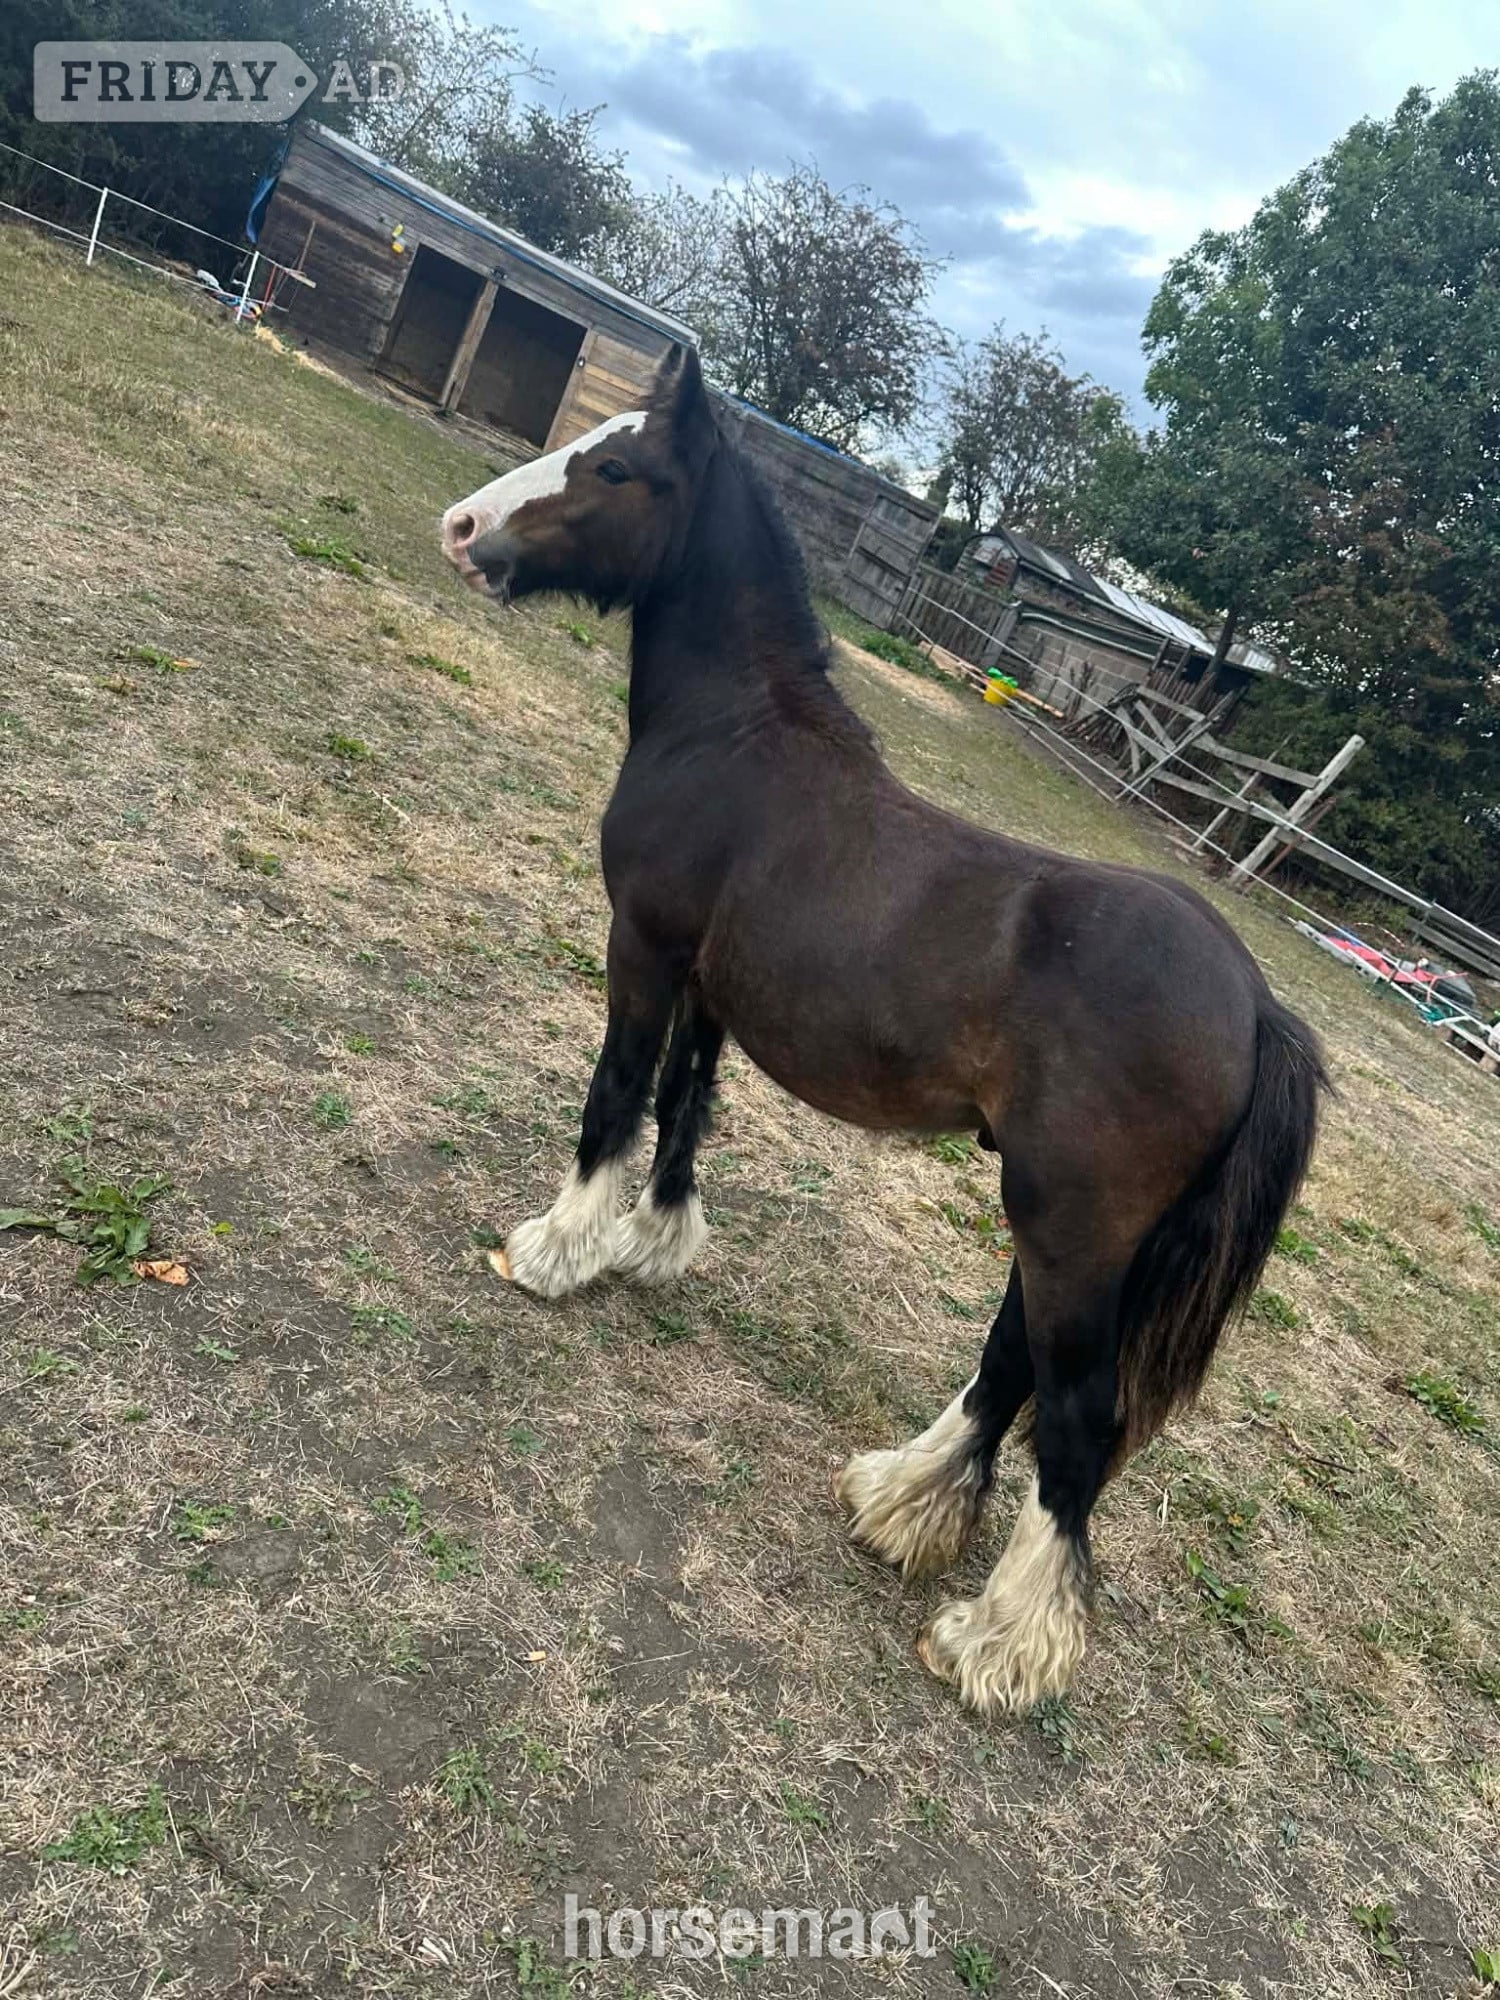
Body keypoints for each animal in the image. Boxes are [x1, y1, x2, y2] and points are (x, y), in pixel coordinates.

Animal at [438, 346, 1326, 1717]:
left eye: (617, 467)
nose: (463, 529)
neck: (741, 741)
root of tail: (1257, 1002)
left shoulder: (644, 952)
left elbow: (616, 1094)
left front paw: (553, 1247)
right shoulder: (712, 989)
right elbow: (687, 1108)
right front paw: (653, 1243)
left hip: (1074, 1232)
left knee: (1074, 1421)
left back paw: (995, 1643)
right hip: (1058, 1228)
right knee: (1010, 1369)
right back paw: (900, 1500)